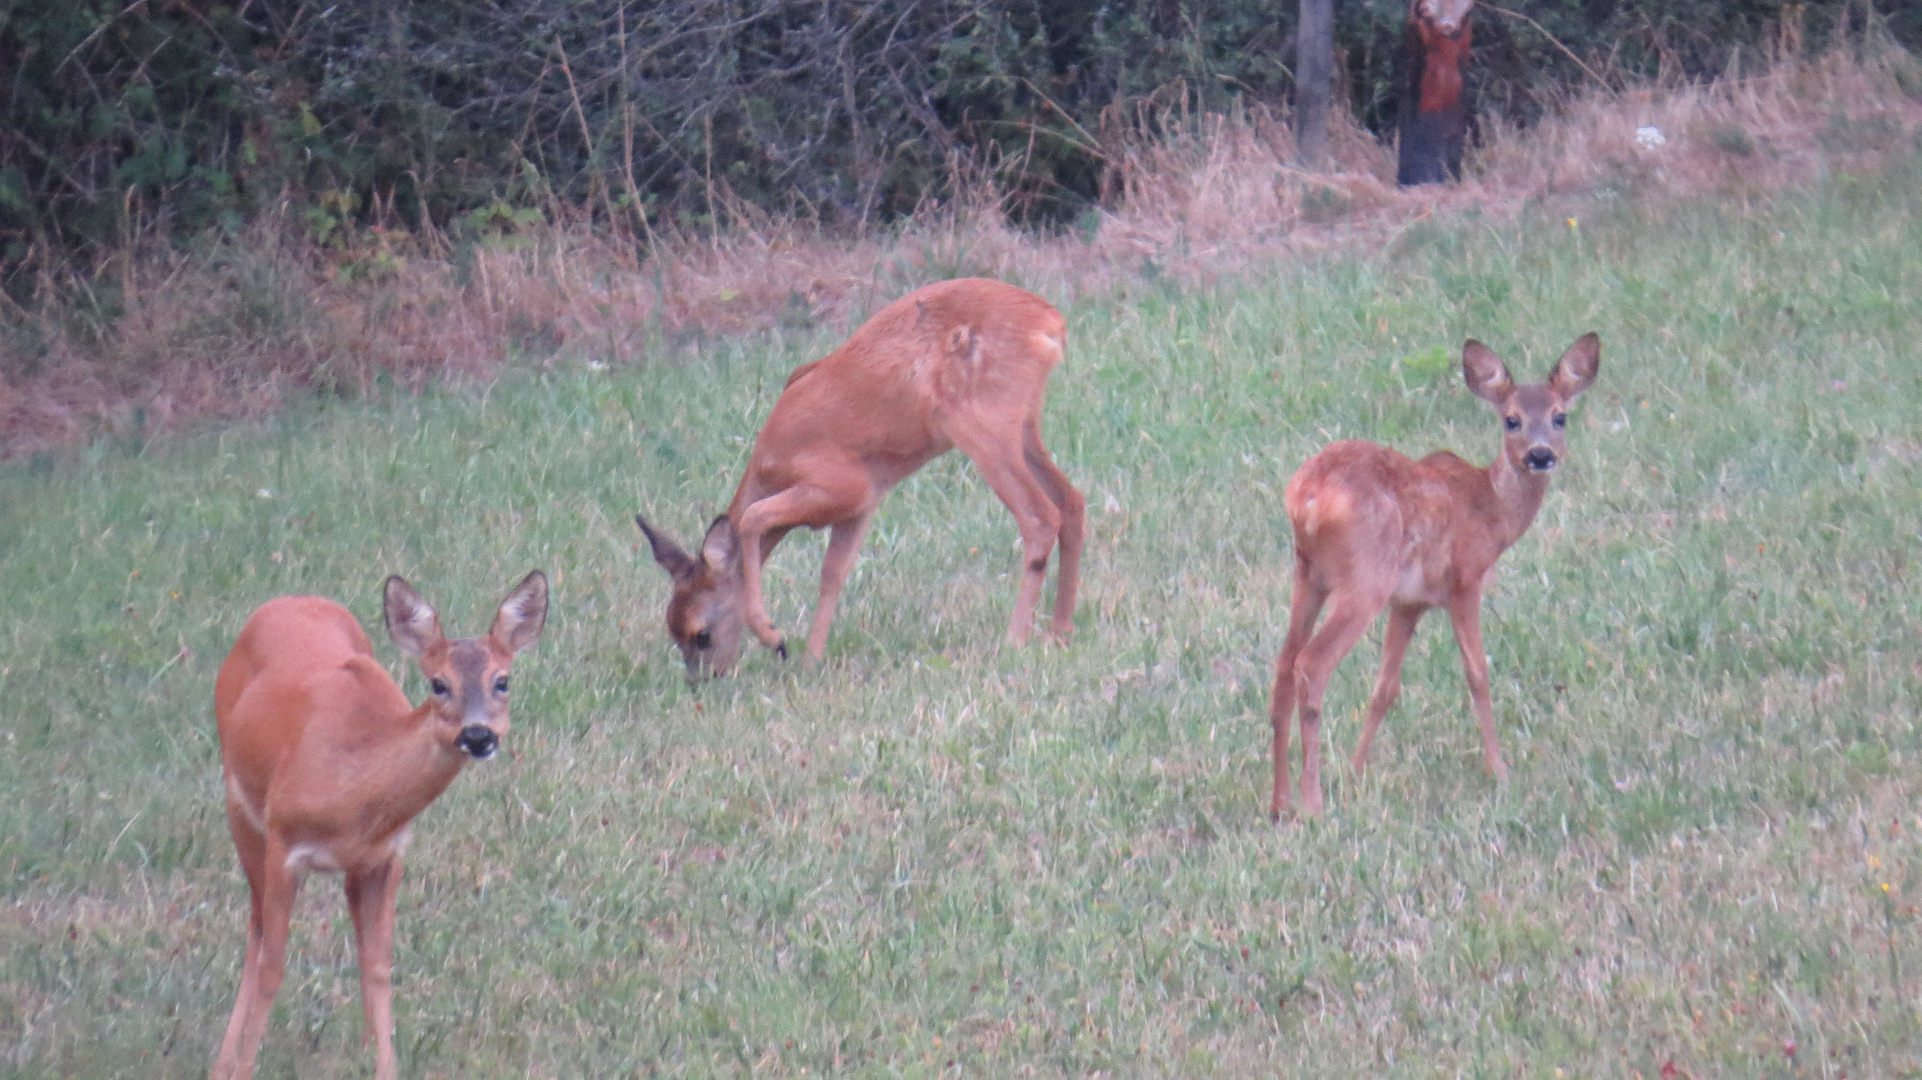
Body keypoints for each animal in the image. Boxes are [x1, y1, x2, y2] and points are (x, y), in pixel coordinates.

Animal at [210, 568, 549, 1068]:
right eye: (438, 684)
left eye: (502, 681)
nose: (478, 735)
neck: (353, 795)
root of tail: (291, 598)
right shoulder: (283, 845)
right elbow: (273, 966)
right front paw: (240, 1069)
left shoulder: (387, 857)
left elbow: (377, 967)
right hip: (240, 811)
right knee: (254, 933)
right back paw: (223, 1061)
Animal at [630, 274, 1084, 672]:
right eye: (673, 633)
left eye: (701, 633)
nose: (702, 680)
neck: (771, 463)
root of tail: (1052, 322)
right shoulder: (863, 502)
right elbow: (833, 572)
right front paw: (810, 662)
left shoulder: (843, 483)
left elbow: (753, 518)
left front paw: (774, 636)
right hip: (1023, 423)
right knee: (1072, 501)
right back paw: (1060, 632)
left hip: (982, 423)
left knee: (1039, 515)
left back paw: (1015, 639)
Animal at [1268, 334, 1599, 814]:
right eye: (1512, 420)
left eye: (1560, 416)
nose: (1541, 455)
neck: (1493, 509)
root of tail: (1307, 498)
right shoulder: (1464, 578)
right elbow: (1477, 673)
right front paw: (1499, 771)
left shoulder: (1409, 602)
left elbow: (1385, 688)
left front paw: (1355, 771)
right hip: (1365, 580)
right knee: (1311, 665)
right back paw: (1313, 805)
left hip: (1307, 575)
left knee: (1283, 664)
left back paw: (1280, 804)